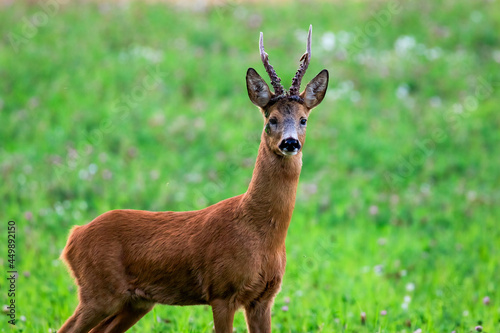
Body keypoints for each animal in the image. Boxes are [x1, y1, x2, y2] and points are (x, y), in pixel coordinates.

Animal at [59, 24, 328, 330]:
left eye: (303, 119)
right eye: (271, 119)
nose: (290, 143)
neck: (260, 233)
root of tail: (73, 238)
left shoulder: (263, 298)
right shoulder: (221, 291)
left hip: (134, 301)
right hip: (99, 291)